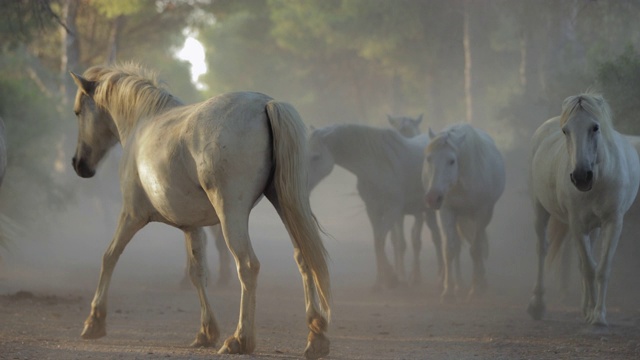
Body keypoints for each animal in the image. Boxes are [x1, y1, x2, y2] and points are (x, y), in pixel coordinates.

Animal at [68, 63, 332, 358]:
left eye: (78, 112)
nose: (79, 164)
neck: (144, 122)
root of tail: (265, 103)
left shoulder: (131, 215)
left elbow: (109, 256)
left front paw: (94, 322)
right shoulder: (191, 226)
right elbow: (197, 273)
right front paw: (206, 332)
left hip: (231, 214)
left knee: (247, 265)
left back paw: (240, 339)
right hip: (285, 204)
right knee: (304, 257)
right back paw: (316, 337)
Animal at [308, 124, 442, 290]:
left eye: (316, 157)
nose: (303, 183)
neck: (378, 165)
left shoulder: (392, 211)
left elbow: (381, 240)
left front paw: (390, 277)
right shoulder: (372, 210)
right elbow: (377, 242)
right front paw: (380, 281)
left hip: (429, 210)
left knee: (436, 238)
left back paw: (439, 277)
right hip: (421, 211)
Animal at [422, 124, 508, 300]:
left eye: (451, 161)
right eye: (429, 158)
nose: (433, 197)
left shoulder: (482, 213)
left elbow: (476, 250)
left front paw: (475, 289)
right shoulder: (447, 211)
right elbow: (450, 249)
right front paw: (448, 292)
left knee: (478, 244)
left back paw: (481, 282)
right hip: (460, 217)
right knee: (459, 245)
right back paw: (459, 284)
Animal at [528, 93, 636, 326]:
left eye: (595, 127)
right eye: (566, 131)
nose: (580, 177)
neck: (600, 178)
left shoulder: (613, 223)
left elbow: (601, 268)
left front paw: (597, 315)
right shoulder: (577, 224)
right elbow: (589, 268)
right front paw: (594, 313)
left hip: (593, 228)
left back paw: (585, 308)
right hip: (540, 209)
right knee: (542, 249)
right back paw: (537, 305)